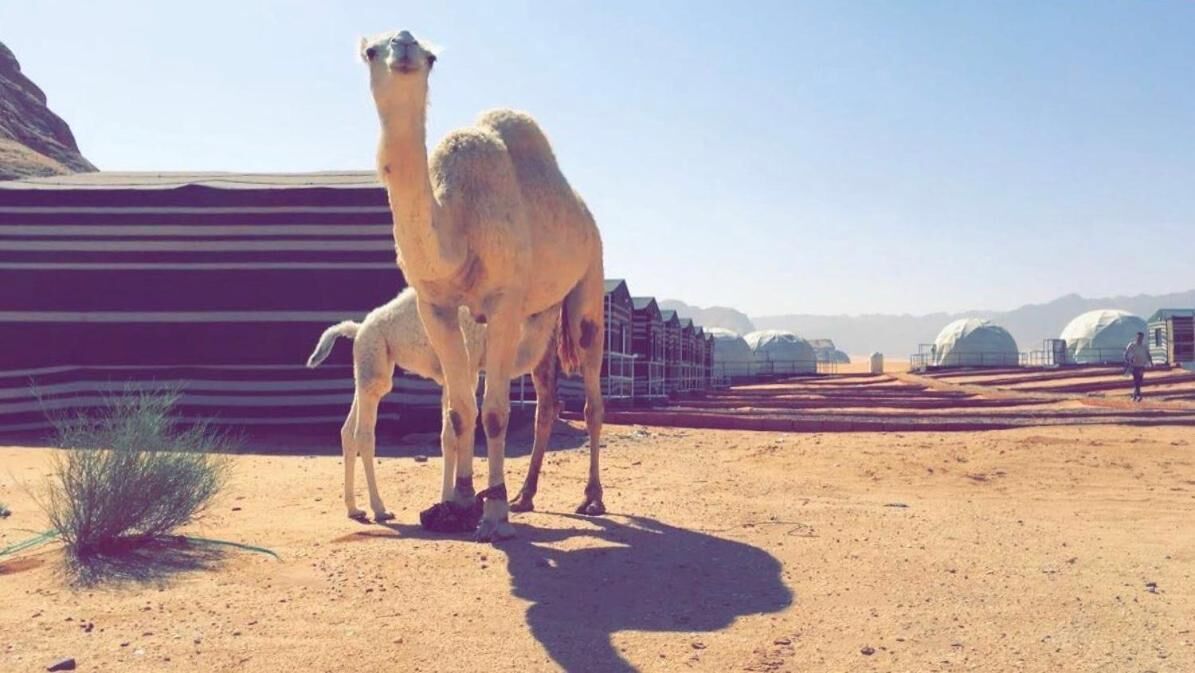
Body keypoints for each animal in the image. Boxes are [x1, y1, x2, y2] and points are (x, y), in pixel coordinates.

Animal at [306, 287, 586, 523]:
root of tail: (358, 328)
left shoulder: (454, 377)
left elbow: (448, 435)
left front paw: (448, 500)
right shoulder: (470, 367)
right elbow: (460, 427)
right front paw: (455, 501)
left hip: (368, 369)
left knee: (347, 431)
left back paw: (354, 508)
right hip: (374, 364)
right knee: (363, 434)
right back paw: (380, 509)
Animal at [360, 30, 606, 540]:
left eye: (431, 56)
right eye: (371, 50)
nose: (405, 47)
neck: (457, 224)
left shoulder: (503, 301)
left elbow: (493, 413)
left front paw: (493, 517)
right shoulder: (436, 306)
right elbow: (458, 412)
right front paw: (457, 502)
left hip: (589, 276)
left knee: (592, 396)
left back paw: (591, 498)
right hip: (542, 316)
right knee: (547, 402)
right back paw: (526, 495)